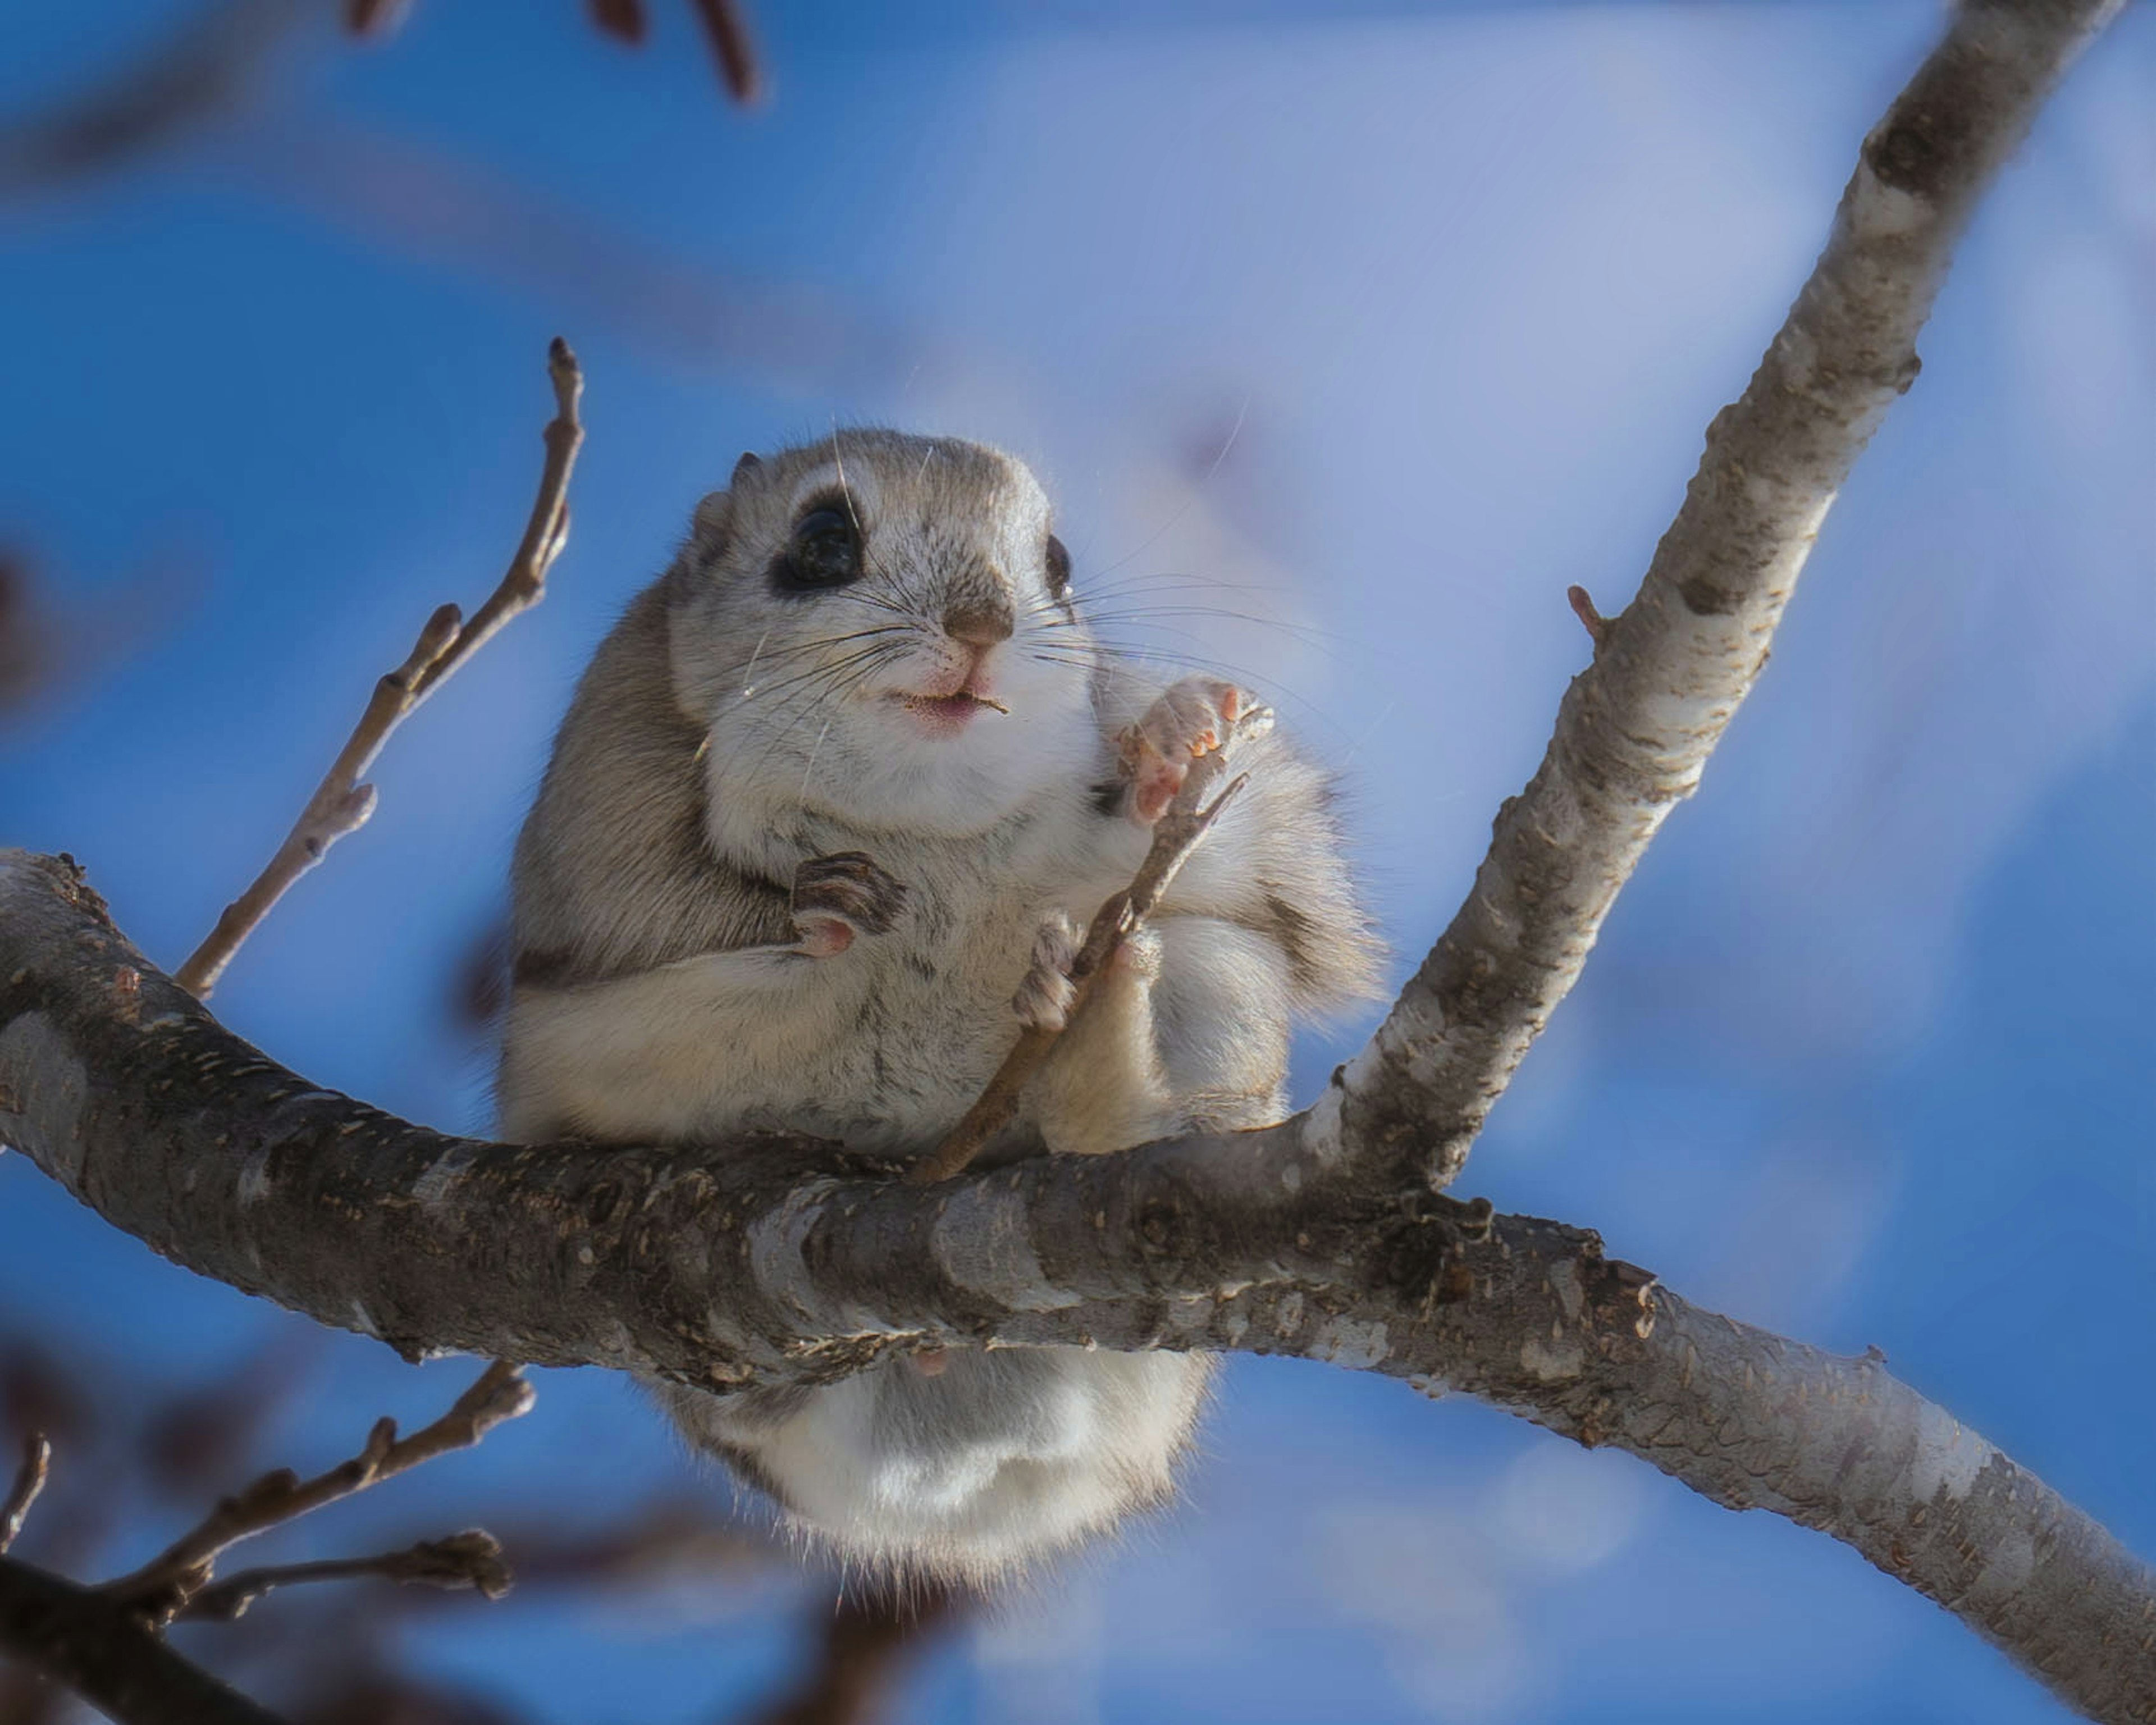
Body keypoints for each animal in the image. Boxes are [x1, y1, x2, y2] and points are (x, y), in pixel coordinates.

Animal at [500, 427, 1380, 1578]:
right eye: (823, 540)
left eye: (1057, 563)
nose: (982, 629)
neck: (924, 818)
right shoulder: (601, 812)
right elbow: (653, 904)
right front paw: (819, 900)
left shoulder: (1126, 853)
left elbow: (1162, 827)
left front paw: (1173, 736)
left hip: (1219, 974)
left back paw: (1098, 1034)